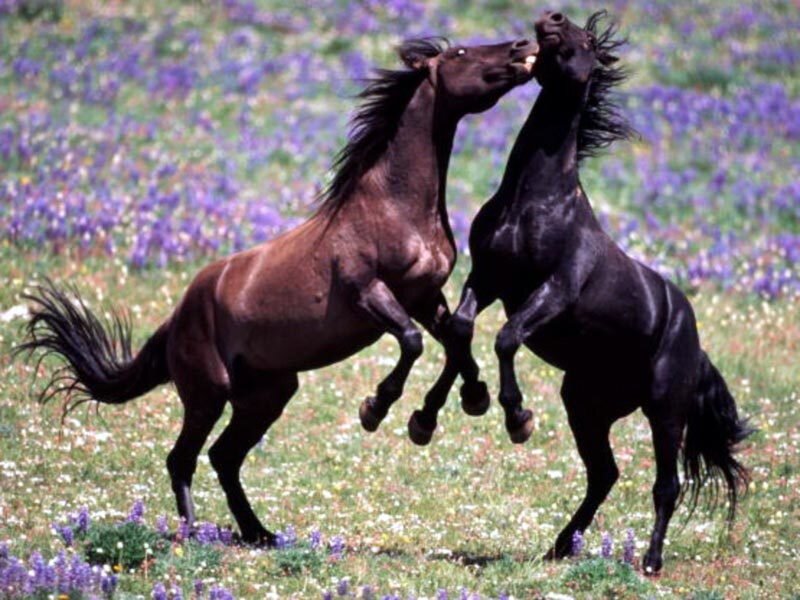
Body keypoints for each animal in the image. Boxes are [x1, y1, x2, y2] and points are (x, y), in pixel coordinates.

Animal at [18, 36, 539, 546]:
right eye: (460, 54)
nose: (521, 47)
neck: (393, 206)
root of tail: (178, 315)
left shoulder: (426, 297)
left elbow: (455, 339)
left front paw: (465, 407)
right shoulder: (370, 295)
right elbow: (412, 343)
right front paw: (376, 408)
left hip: (266, 395)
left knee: (224, 457)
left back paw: (259, 533)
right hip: (208, 393)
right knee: (182, 458)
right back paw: (192, 536)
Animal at [408, 11, 752, 574]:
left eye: (588, 39)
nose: (552, 19)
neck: (533, 202)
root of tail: (695, 344)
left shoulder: (556, 290)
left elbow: (506, 337)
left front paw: (517, 417)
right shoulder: (488, 278)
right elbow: (460, 329)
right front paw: (431, 415)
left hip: (665, 410)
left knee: (666, 484)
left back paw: (651, 561)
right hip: (587, 405)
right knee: (604, 474)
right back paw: (558, 546)